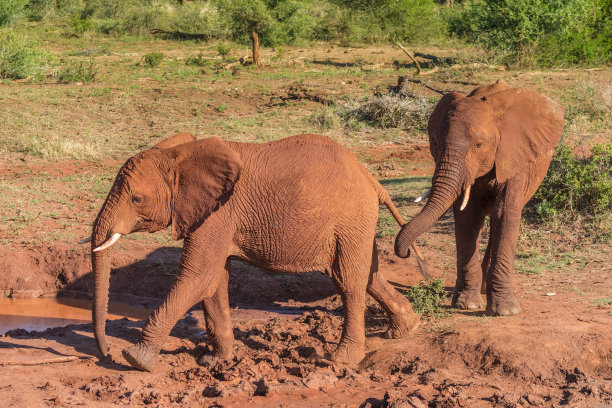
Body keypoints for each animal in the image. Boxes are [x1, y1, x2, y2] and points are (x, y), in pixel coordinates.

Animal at [83, 132, 424, 372]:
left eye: (137, 199)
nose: (105, 352)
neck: (179, 155)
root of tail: (371, 179)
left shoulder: (218, 214)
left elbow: (198, 277)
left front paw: (135, 359)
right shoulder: (213, 216)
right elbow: (213, 280)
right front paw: (215, 362)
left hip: (351, 218)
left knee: (348, 280)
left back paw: (341, 360)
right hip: (355, 223)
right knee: (368, 275)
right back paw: (405, 330)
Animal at [396, 79, 564, 316]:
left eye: (478, 145)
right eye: (435, 144)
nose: (407, 252)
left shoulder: (513, 156)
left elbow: (504, 214)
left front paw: (505, 311)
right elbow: (467, 216)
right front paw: (467, 304)